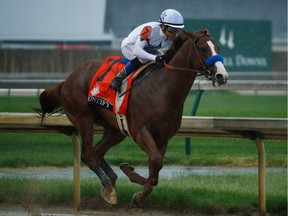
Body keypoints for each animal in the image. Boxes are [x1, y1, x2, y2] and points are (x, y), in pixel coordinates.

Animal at [36, 28, 228, 206]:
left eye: (218, 48)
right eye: (203, 49)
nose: (222, 76)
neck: (162, 89)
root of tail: (67, 80)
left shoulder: (163, 137)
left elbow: (155, 170)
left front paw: (134, 182)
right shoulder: (140, 132)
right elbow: (156, 162)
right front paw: (138, 194)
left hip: (115, 129)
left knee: (98, 152)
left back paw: (113, 180)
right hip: (84, 119)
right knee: (87, 154)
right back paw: (108, 187)